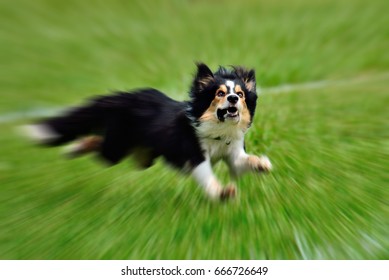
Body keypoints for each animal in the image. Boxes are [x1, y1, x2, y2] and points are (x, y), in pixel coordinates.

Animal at [25, 62, 270, 200]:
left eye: (240, 94)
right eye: (220, 93)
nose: (233, 98)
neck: (219, 131)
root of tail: (124, 96)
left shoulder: (233, 153)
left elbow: (242, 162)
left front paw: (261, 163)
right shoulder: (193, 155)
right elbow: (207, 175)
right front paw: (221, 193)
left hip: (143, 156)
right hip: (117, 146)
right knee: (99, 146)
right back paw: (73, 149)